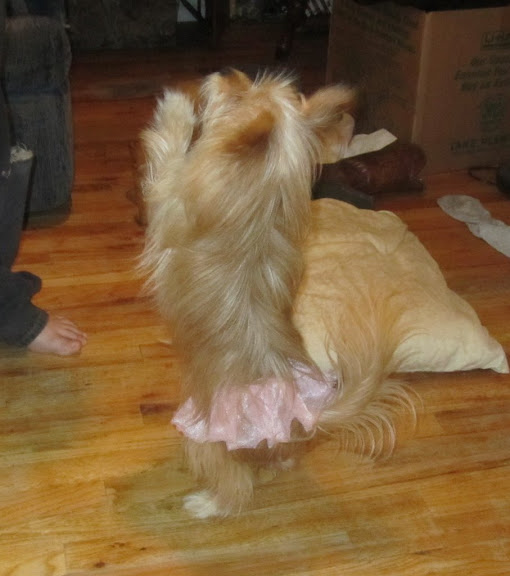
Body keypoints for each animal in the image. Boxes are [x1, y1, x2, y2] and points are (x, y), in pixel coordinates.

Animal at [140, 69, 413, 518]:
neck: (261, 200)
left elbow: (170, 153)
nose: (226, 72)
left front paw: (176, 109)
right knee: (277, 464)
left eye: (237, 96)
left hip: (201, 435)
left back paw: (206, 504)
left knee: (237, 487)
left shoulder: (169, 199)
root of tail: (306, 422)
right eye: (248, 81)